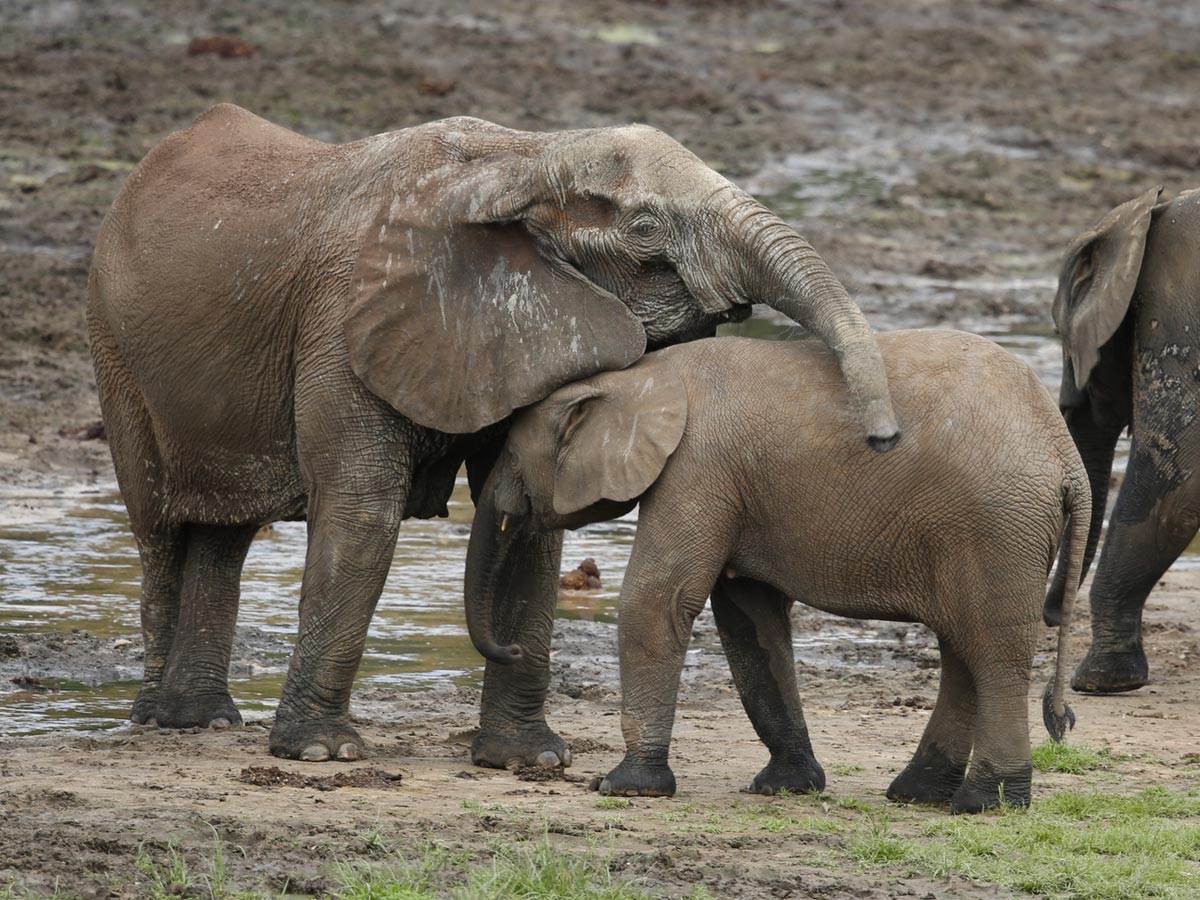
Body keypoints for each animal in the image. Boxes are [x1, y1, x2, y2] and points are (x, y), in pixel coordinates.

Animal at [86, 103, 900, 763]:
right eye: (645, 227)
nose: (886, 440)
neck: (523, 159)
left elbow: (531, 526)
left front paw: (531, 761)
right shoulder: (345, 320)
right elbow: (362, 512)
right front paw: (321, 754)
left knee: (223, 536)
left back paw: (205, 719)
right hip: (113, 347)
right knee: (160, 528)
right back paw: (164, 720)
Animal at [464, 330, 1088, 813]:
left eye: (511, 458)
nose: (511, 649)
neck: (638, 378)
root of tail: (1067, 458)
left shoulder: (697, 468)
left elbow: (658, 599)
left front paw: (624, 787)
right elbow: (750, 618)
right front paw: (787, 787)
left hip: (997, 524)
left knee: (992, 651)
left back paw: (986, 804)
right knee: (963, 650)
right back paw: (918, 795)